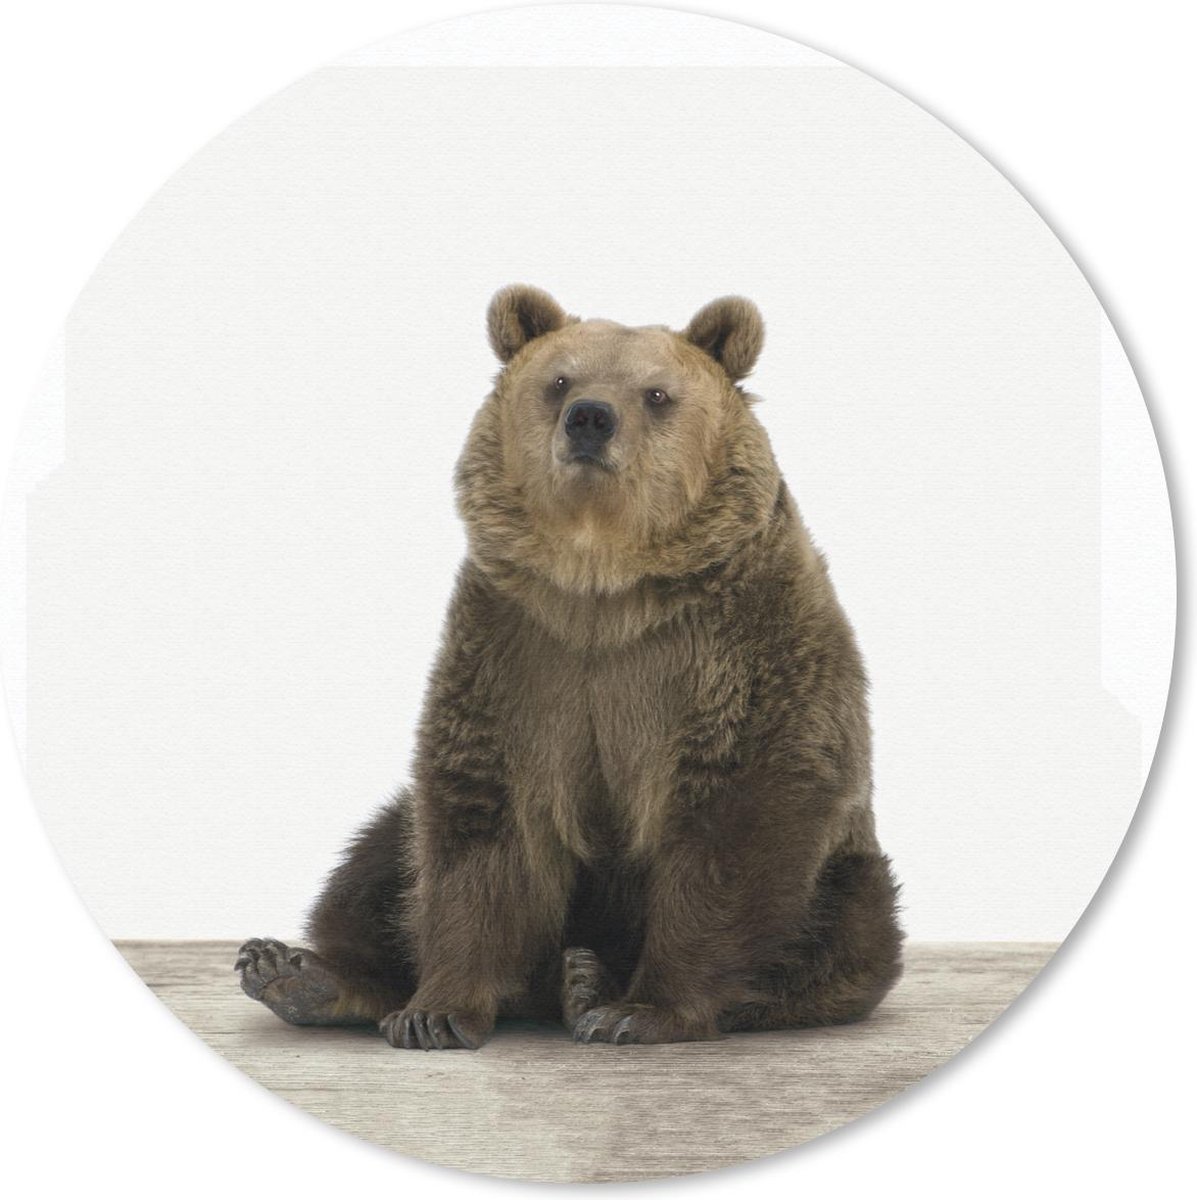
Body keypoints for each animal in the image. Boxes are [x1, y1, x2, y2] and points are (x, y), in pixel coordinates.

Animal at [235, 285, 903, 1049]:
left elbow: (737, 820)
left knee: (841, 931)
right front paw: (433, 1012)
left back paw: (590, 982)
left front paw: (641, 1011)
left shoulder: (739, 648)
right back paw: (298, 973)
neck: (602, 585)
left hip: (847, 876)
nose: (590, 417)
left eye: (655, 393)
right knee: (379, 857)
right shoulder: (517, 651)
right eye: (559, 381)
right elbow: (478, 824)